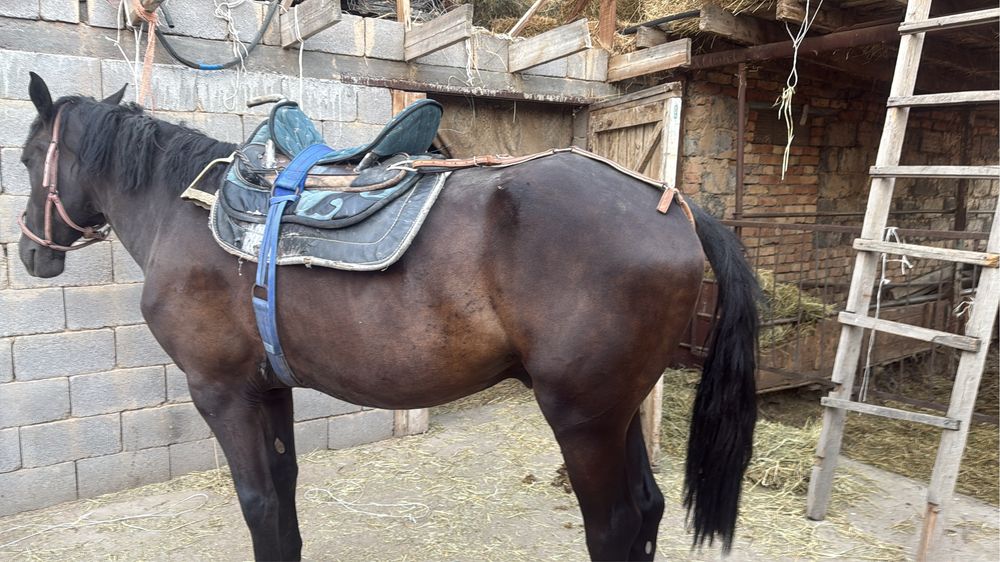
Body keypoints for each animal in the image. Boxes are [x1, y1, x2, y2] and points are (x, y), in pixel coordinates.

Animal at [16, 72, 758, 561]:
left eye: (26, 158)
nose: (29, 252)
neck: (186, 212)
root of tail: (671, 203)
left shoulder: (222, 393)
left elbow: (258, 503)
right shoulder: (268, 388)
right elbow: (284, 494)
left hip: (583, 418)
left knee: (614, 526)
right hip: (617, 409)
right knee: (648, 510)